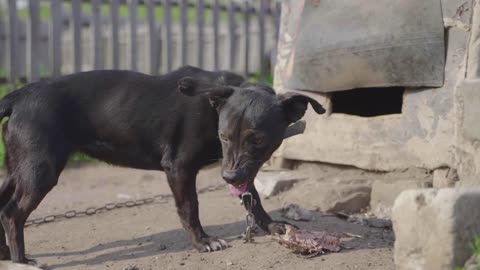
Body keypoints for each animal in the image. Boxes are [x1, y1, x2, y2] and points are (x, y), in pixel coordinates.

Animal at [0, 66, 326, 264]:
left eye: (257, 139)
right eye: (223, 135)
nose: (229, 177)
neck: (212, 107)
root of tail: (20, 94)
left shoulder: (241, 169)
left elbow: (254, 199)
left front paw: (271, 226)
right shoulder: (179, 168)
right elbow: (190, 209)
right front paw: (202, 242)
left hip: (19, 169)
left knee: (3, 208)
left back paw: (5, 253)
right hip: (40, 171)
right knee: (13, 213)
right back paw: (20, 260)